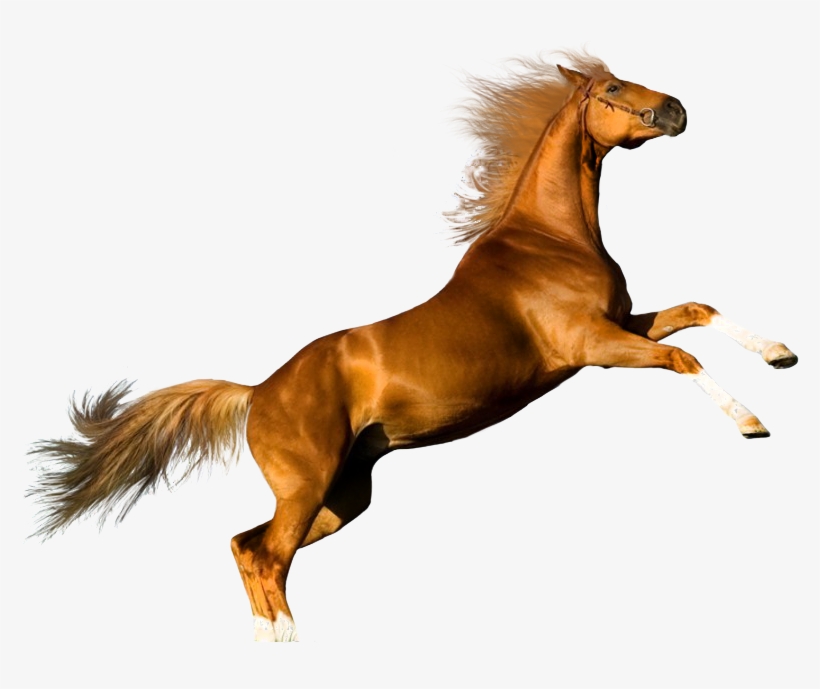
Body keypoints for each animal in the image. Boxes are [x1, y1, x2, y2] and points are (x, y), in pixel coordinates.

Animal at [29, 51, 797, 642]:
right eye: (610, 92)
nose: (677, 108)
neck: (550, 240)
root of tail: (258, 392)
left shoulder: (624, 323)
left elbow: (697, 310)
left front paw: (781, 353)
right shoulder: (595, 346)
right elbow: (683, 357)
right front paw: (752, 422)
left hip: (343, 496)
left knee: (248, 545)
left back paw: (270, 638)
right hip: (308, 486)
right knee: (268, 554)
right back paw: (285, 637)